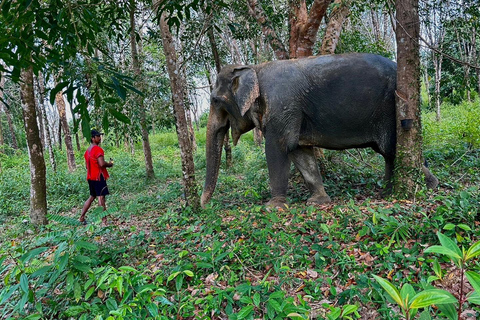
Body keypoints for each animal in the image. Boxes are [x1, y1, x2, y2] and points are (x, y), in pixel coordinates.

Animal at [201, 53, 436, 208]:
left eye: (215, 100)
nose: (204, 207)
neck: (254, 68)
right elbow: (300, 153)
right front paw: (318, 202)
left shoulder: (282, 106)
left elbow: (278, 148)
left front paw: (272, 207)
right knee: (388, 153)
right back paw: (387, 193)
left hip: (392, 109)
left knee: (392, 149)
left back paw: (428, 187)